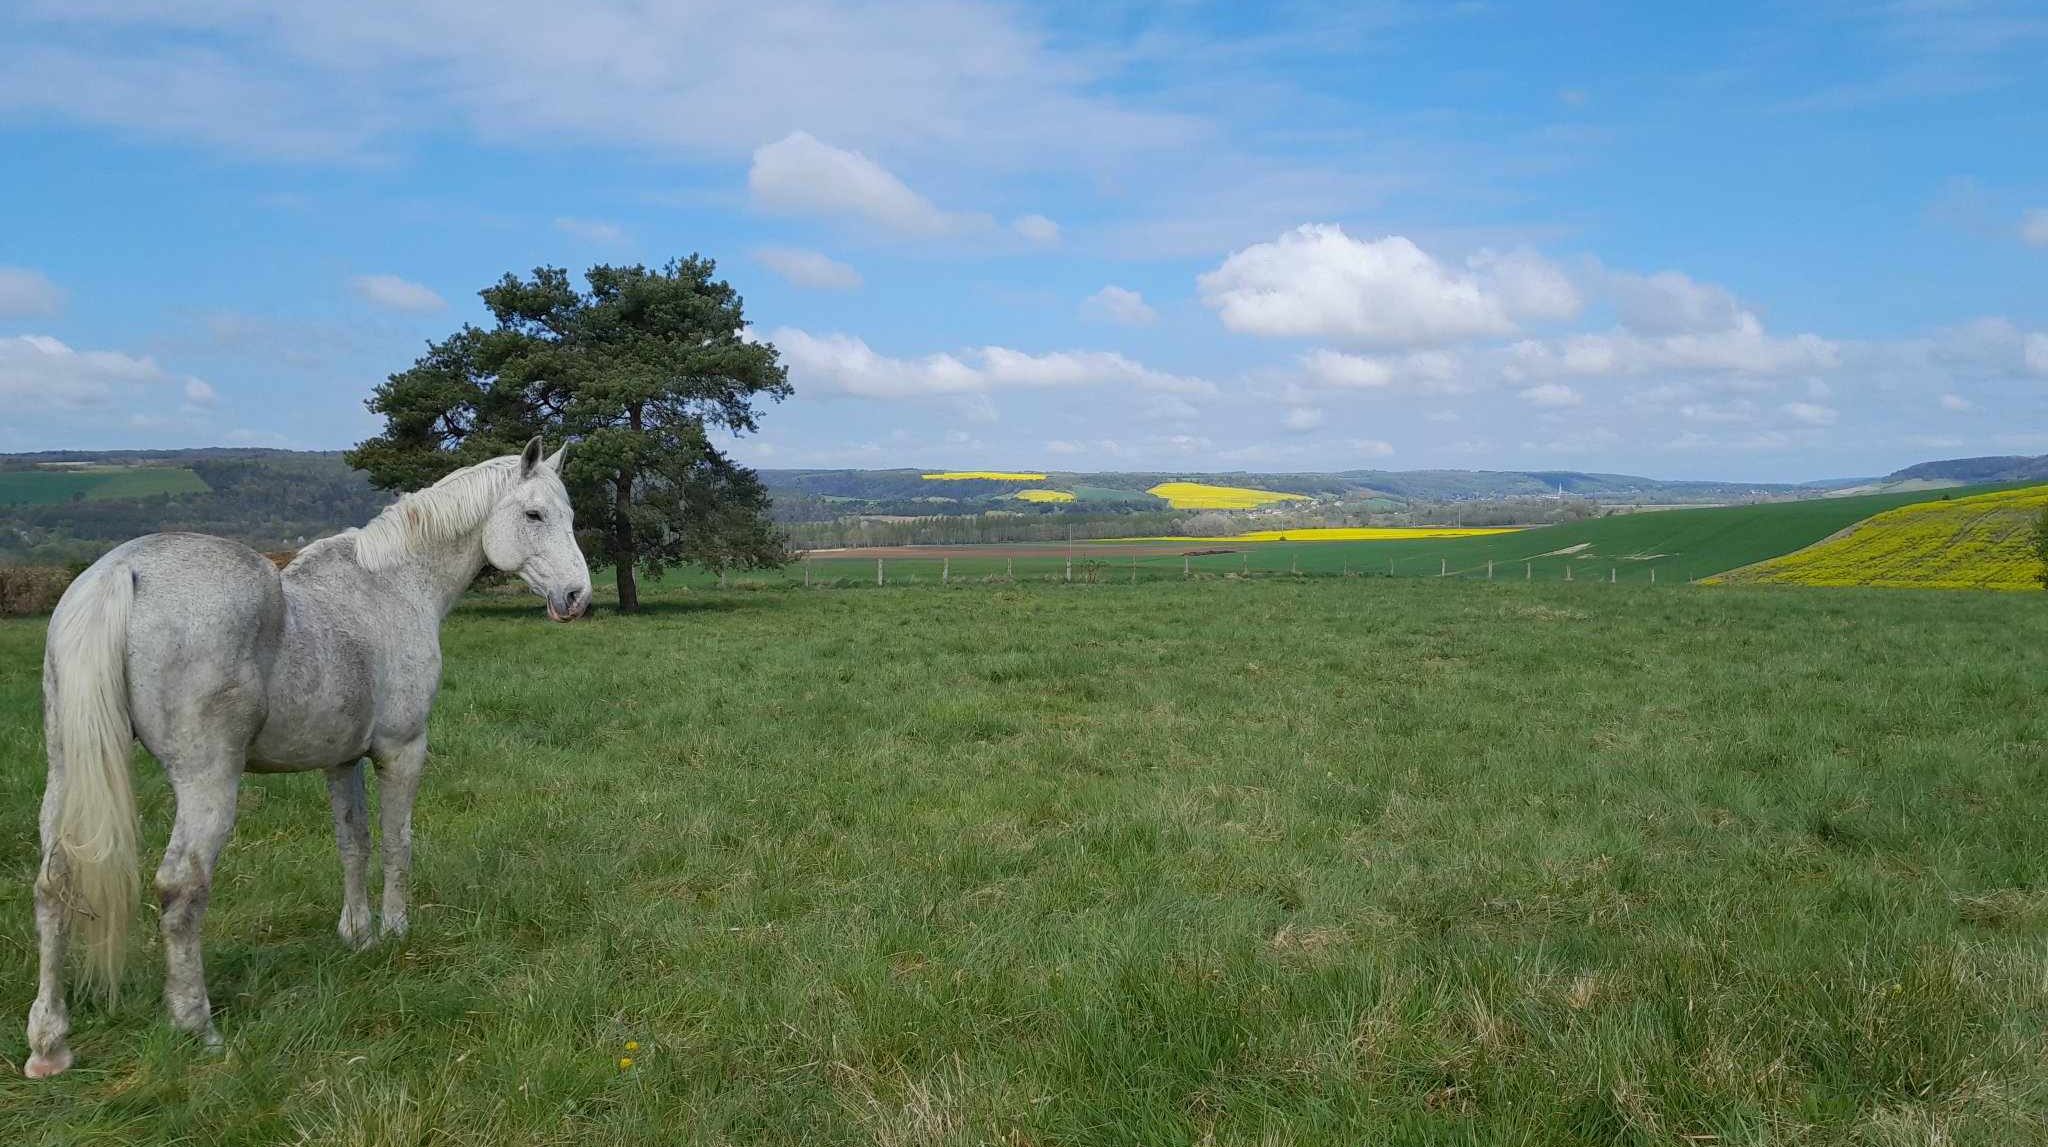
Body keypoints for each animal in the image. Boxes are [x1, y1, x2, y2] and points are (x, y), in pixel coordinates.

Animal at [24, 436, 592, 1079]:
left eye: (569, 515)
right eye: (534, 515)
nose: (577, 596)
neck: (394, 587)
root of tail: (123, 570)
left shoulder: (341, 760)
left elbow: (353, 843)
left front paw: (358, 935)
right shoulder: (402, 750)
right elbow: (397, 842)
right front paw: (396, 931)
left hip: (65, 771)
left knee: (53, 884)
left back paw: (49, 1042)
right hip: (207, 782)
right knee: (180, 887)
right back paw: (197, 1025)